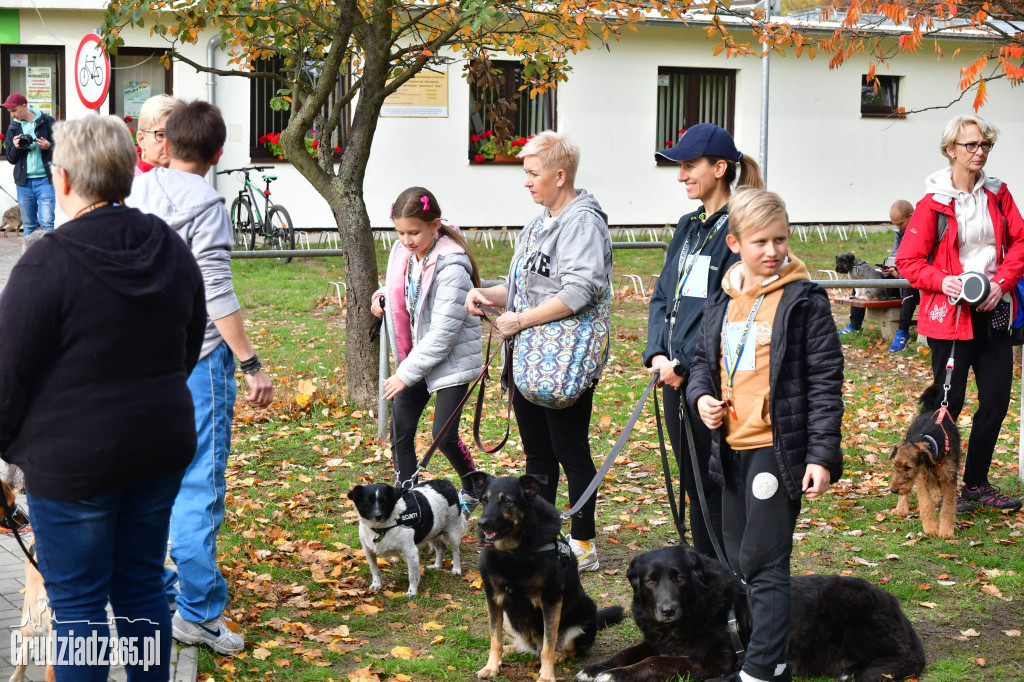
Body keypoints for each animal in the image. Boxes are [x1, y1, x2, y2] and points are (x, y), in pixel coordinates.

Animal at [464, 471, 622, 679]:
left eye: (507, 502)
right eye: (484, 500)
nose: (482, 524)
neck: (515, 551)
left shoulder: (551, 600)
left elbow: (549, 645)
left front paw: (547, 676)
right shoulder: (493, 598)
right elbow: (494, 639)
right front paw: (491, 666)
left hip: (586, 611)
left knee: (566, 648)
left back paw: (559, 655)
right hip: (508, 618)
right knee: (523, 646)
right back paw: (509, 649)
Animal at [577, 540, 929, 679]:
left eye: (679, 578)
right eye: (651, 581)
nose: (667, 610)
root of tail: (891, 600)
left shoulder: (712, 662)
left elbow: (654, 661)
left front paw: (613, 676)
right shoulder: (659, 637)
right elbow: (629, 651)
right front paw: (596, 668)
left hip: (848, 604)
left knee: (905, 658)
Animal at [888, 382, 958, 536]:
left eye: (908, 467)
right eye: (894, 466)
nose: (893, 490)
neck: (933, 441)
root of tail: (929, 409)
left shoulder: (949, 478)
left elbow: (948, 506)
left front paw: (946, 531)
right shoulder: (921, 477)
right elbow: (926, 503)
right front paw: (930, 527)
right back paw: (901, 508)